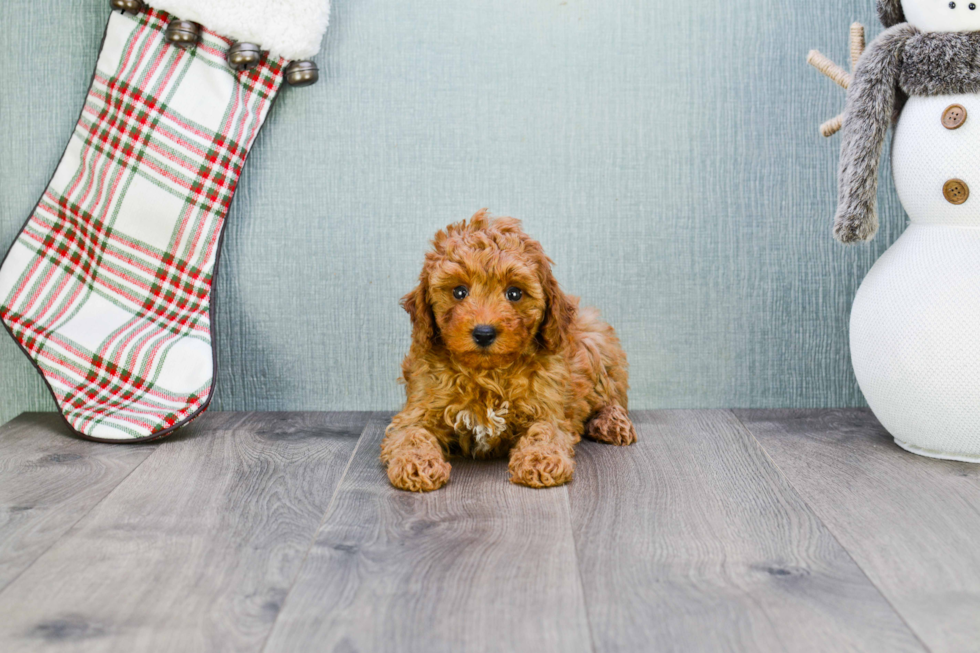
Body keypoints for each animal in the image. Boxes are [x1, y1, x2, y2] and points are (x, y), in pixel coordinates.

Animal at [382, 209, 636, 488]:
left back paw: (611, 423)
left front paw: (541, 459)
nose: (484, 333)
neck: (488, 372)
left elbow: (544, 431)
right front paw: (416, 464)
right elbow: (411, 433)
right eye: (459, 292)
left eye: (514, 293)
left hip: (596, 340)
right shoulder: (419, 408)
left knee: (613, 397)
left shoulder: (548, 408)